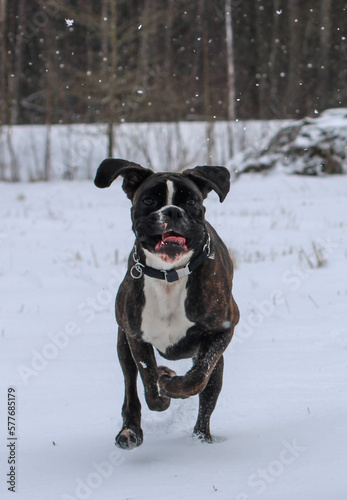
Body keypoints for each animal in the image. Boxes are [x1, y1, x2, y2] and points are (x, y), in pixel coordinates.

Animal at [94, 159, 239, 450]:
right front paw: (161, 388)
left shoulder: (224, 330)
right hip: (122, 345)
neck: (169, 276)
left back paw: (201, 439)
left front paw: (172, 385)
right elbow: (148, 380)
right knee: (131, 387)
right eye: (149, 200)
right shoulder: (136, 337)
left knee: (206, 398)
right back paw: (130, 431)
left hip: (217, 366)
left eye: (191, 201)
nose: (172, 212)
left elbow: (197, 377)